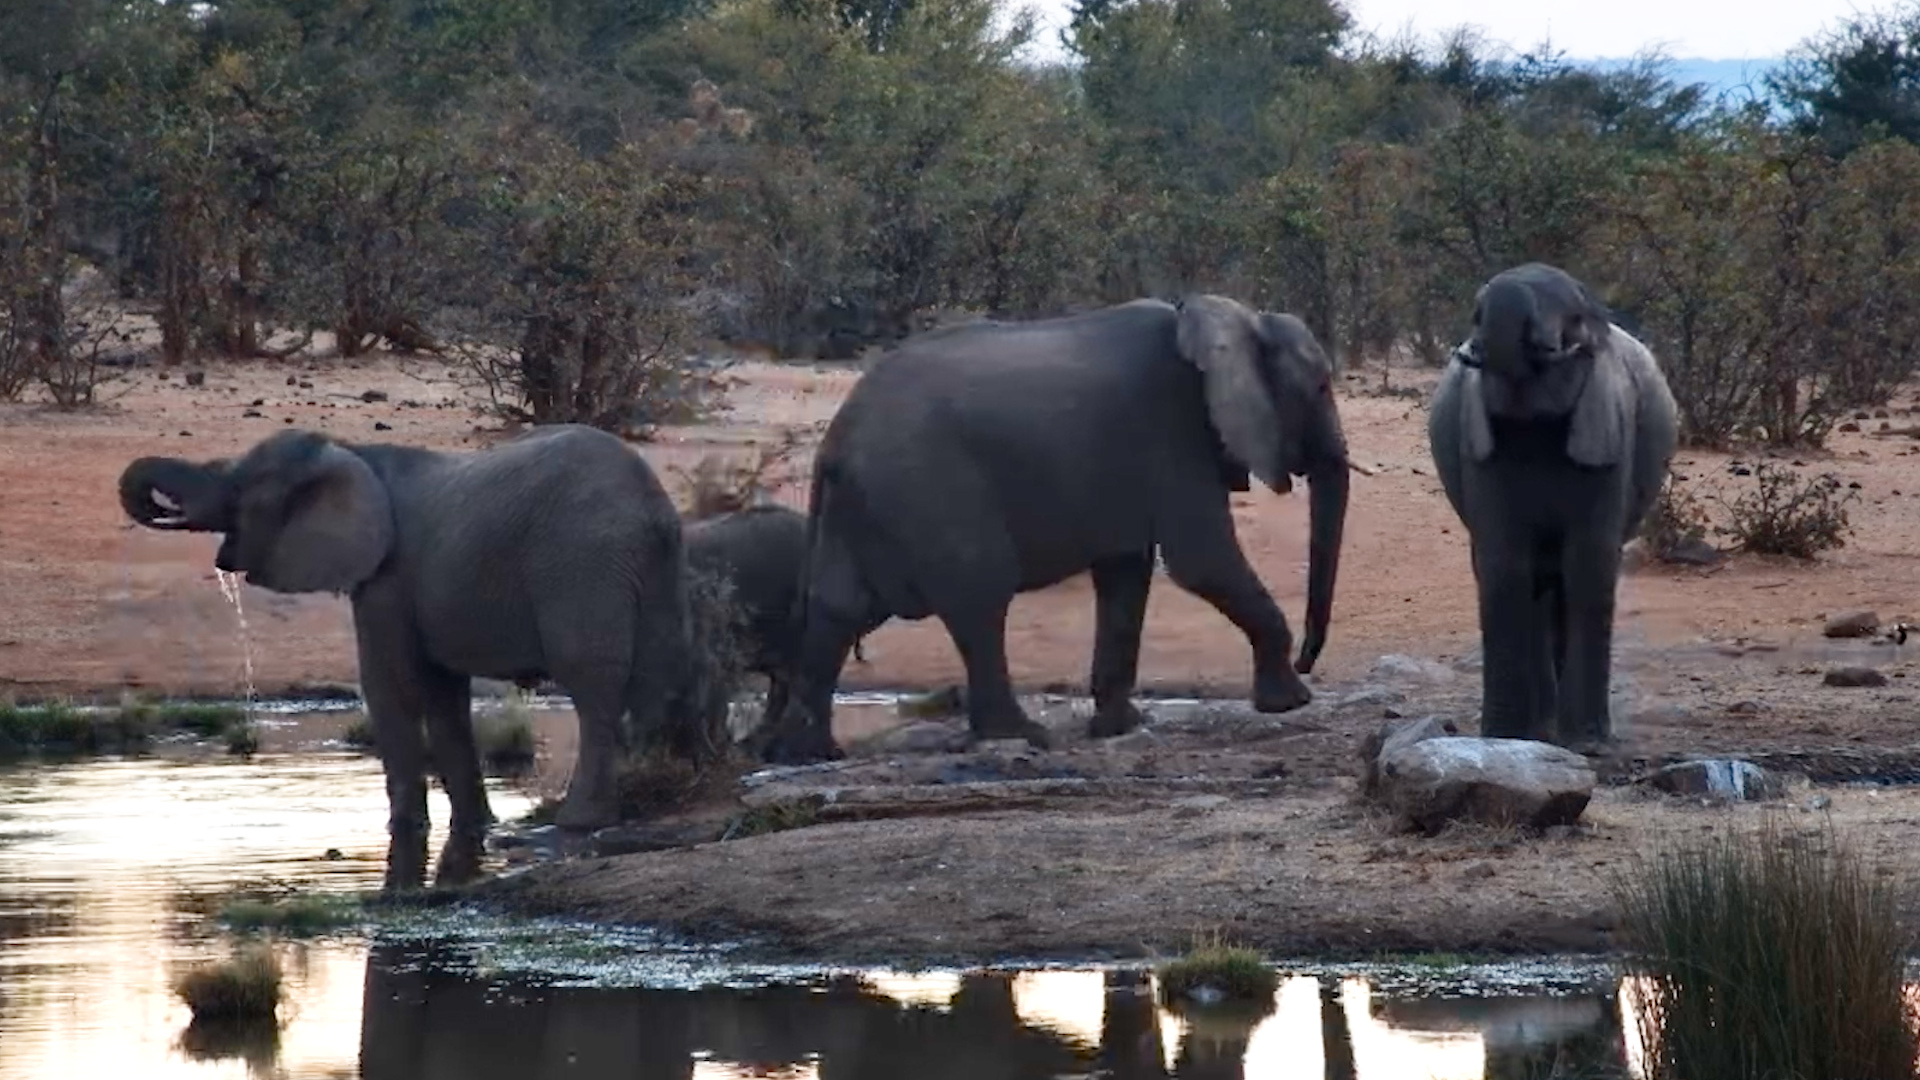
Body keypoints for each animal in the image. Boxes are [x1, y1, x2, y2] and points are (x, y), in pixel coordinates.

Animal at [118, 424, 691, 891]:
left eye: (238, 484)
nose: (163, 506)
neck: (352, 453)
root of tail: (651, 506)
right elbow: (443, 693)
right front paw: (478, 826)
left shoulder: (386, 577)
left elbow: (389, 684)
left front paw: (405, 830)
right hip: (652, 566)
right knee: (662, 676)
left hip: (582, 564)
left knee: (593, 689)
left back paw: (577, 821)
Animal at [755, 295, 1352, 764]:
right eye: (1322, 387)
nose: (1309, 658)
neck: (1233, 320)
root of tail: (835, 439)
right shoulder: (1173, 436)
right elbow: (1202, 560)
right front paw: (1289, 701)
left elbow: (1125, 573)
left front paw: (1119, 728)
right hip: (926, 488)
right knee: (978, 595)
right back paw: (1021, 736)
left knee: (839, 608)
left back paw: (808, 755)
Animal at [1427, 262, 1679, 747]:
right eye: (1475, 311)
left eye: (1573, 319)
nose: (1482, 313)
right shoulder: (1478, 442)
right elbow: (1504, 564)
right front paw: (1503, 739)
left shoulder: (1608, 430)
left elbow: (1589, 563)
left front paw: (1587, 743)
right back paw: (1539, 732)